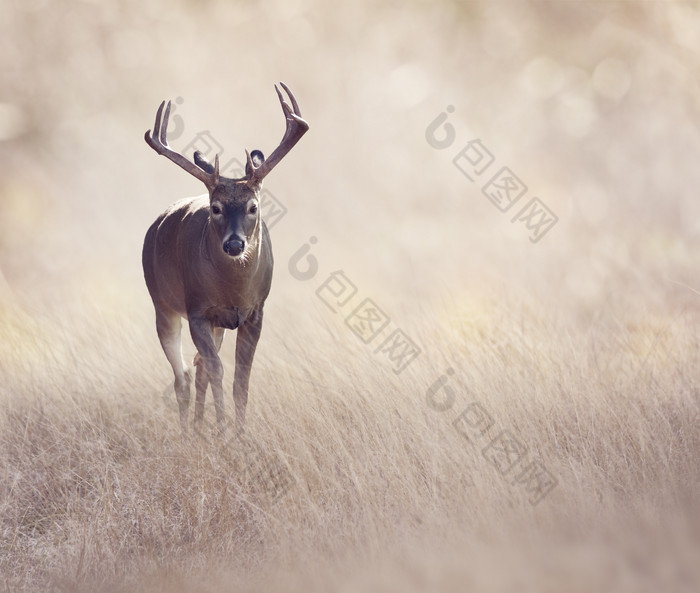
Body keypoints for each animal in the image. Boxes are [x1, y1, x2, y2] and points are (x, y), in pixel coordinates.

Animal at [141, 83, 308, 434]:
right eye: (216, 207)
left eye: (253, 206)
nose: (234, 244)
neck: (234, 290)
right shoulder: (197, 311)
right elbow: (218, 370)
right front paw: (223, 431)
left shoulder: (255, 312)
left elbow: (240, 378)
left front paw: (240, 434)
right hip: (162, 304)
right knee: (182, 376)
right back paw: (188, 431)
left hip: (216, 324)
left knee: (198, 367)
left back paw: (199, 426)